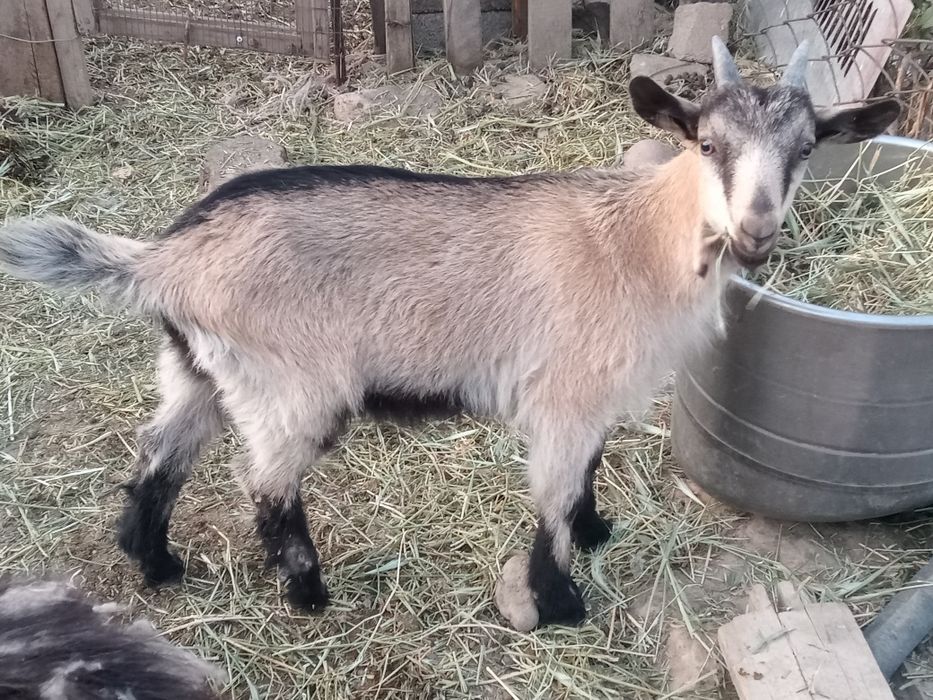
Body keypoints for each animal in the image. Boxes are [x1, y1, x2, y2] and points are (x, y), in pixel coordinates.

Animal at [0, 39, 898, 627]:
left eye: (807, 149)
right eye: (707, 144)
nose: (755, 231)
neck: (637, 242)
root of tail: (168, 258)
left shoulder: (598, 395)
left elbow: (587, 474)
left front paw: (598, 532)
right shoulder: (563, 396)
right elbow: (553, 495)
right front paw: (562, 602)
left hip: (196, 369)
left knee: (158, 459)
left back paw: (157, 564)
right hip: (290, 387)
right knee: (267, 488)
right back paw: (308, 595)